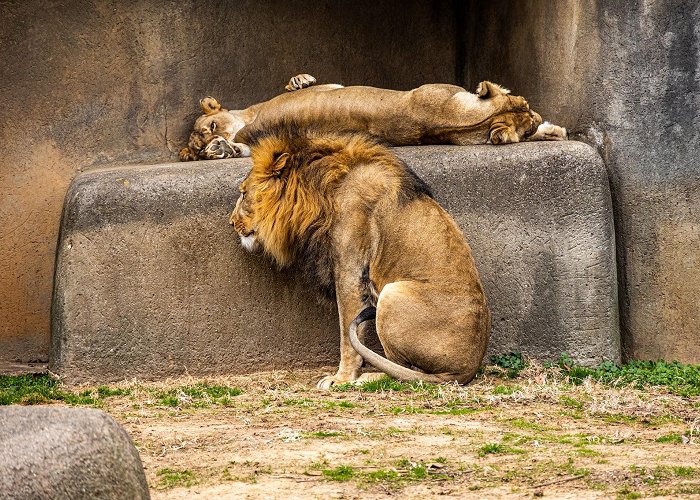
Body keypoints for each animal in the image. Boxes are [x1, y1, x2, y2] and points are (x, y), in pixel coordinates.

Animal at [230, 123, 486, 388]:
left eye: (243, 194)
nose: (231, 223)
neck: (319, 190)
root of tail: (465, 371)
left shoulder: (350, 271)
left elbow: (346, 333)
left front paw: (341, 378)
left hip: (392, 293)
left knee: (401, 371)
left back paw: (367, 378)